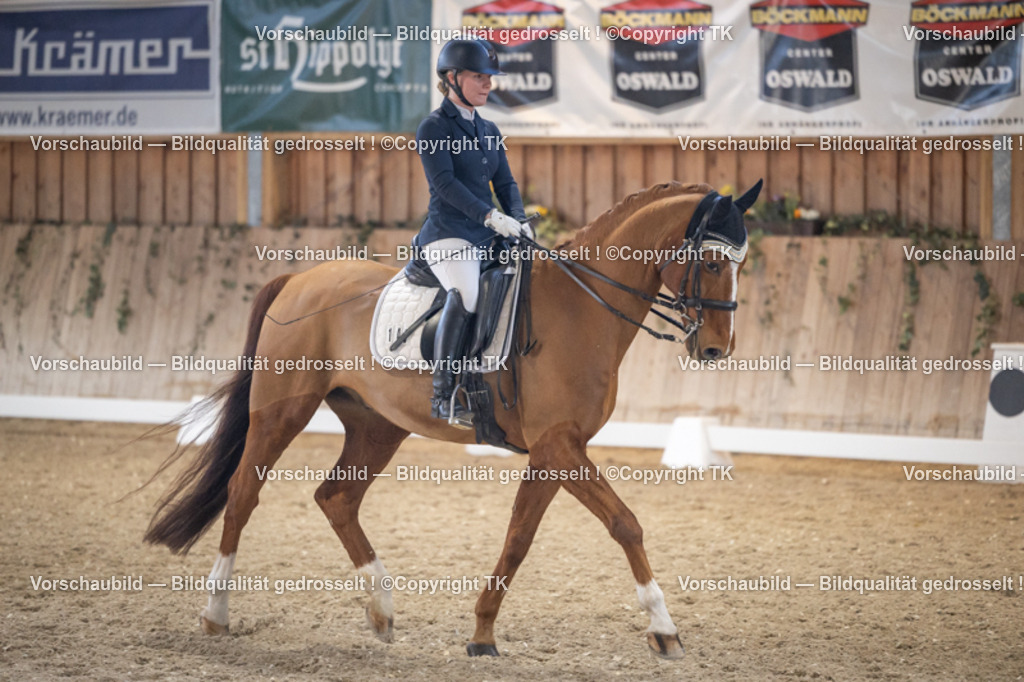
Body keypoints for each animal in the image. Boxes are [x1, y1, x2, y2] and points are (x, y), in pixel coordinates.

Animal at [144, 179, 763, 659]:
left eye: (741, 263)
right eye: (711, 261)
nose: (715, 349)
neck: (582, 307)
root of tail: (297, 279)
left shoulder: (554, 450)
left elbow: (519, 538)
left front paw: (483, 634)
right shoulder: (559, 445)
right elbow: (625, 523)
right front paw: (664, 628)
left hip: (377, 425)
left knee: (336, 498)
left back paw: (381, 610)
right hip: (281, 411)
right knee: (243, 493)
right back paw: (217, 614)